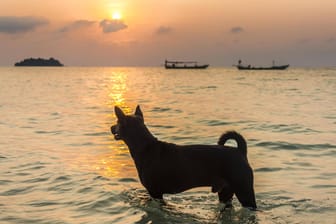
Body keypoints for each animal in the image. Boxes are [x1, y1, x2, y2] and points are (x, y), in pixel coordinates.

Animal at [111, 105, 256, 210]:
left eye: (117, 122)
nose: (111, 127)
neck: (145, 147)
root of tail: (240, 151)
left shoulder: (155, 192)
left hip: (244, 191)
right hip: (226, 192)